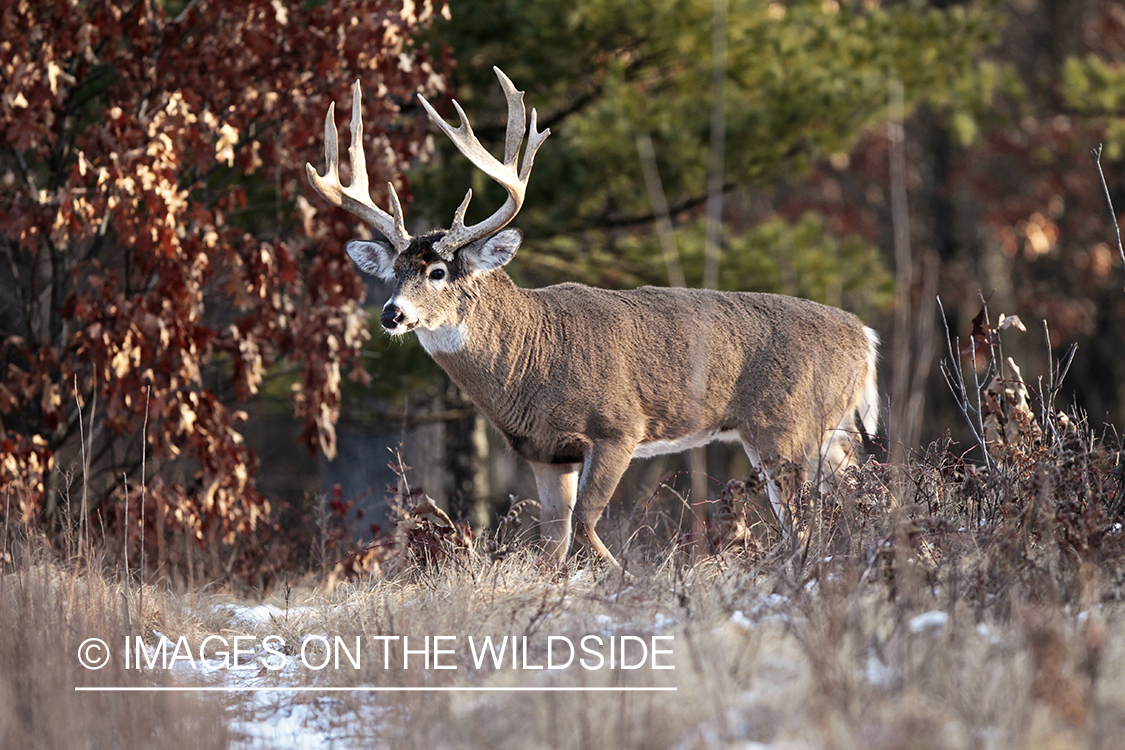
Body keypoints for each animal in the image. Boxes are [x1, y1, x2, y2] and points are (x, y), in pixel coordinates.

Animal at [308, 67, 877, 566]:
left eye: (439, 271)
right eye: (395, 271)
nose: (391, 313)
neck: (531, 359)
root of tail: (866, 338)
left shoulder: (618, 428)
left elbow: (584, 524)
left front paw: (629, 579)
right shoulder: (544, 453)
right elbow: (552, 541)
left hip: (785, 426)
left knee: (805, 519)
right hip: (827, 433)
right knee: (856, 498)